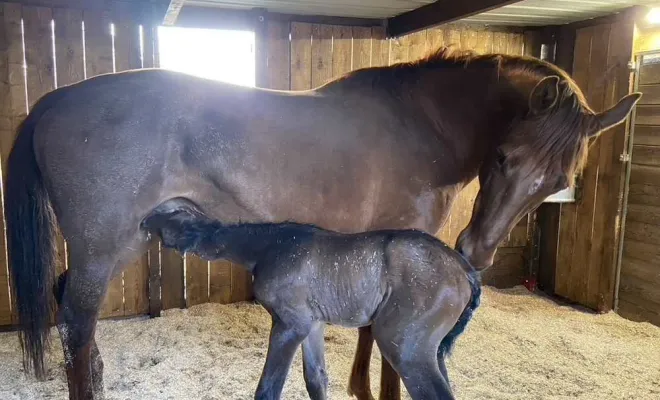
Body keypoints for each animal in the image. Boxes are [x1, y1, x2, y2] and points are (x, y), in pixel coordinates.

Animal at [143, 206, 480, 400]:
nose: (144, 220)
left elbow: (268, 388)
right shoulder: (313, 323)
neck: (268, 247)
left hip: (405, 345)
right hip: (431, 350)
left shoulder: (290, 324)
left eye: (169, 218)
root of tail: (465, 270)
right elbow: (316, 379)